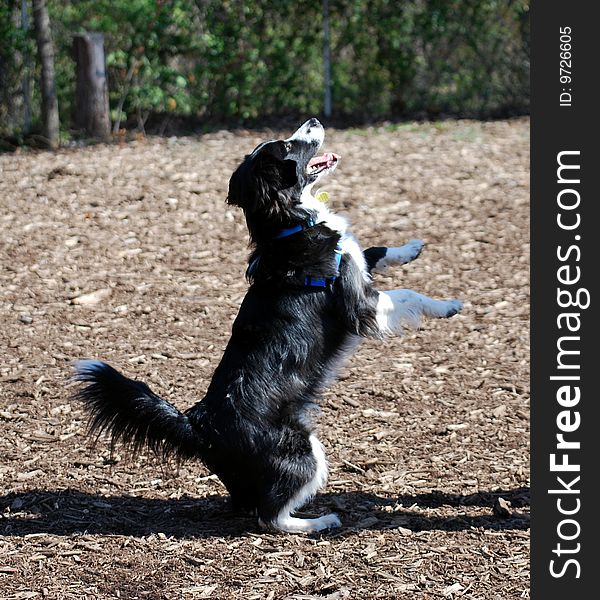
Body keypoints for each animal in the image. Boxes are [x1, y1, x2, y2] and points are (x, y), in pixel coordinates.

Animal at [72, 118, 462, 536]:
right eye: (288, 145)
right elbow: (408, 295)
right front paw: (448, 305)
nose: (314, 121)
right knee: (271, 517)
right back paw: (320, 521)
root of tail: (198, 424)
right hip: (303, 450)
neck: (288, 225)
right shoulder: (362, 305)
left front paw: (412, 247)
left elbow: (377, 251)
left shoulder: (358, 264)